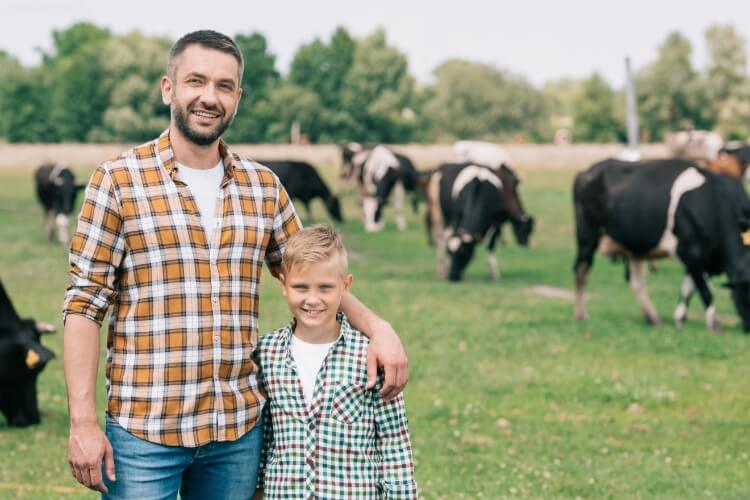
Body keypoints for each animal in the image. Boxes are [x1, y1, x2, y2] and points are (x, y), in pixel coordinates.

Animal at [576, 159, 750, 332]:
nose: (746, 329)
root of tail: (588, 170)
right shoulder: (690, 252)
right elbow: (705, 290)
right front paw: (714, 324)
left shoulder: (701, 259)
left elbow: (688, 288)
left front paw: (680, 319)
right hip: (587, 236)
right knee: (581, 270)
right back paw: (581, 315)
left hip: (634, 247)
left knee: (636, 283)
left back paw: (653, 318)